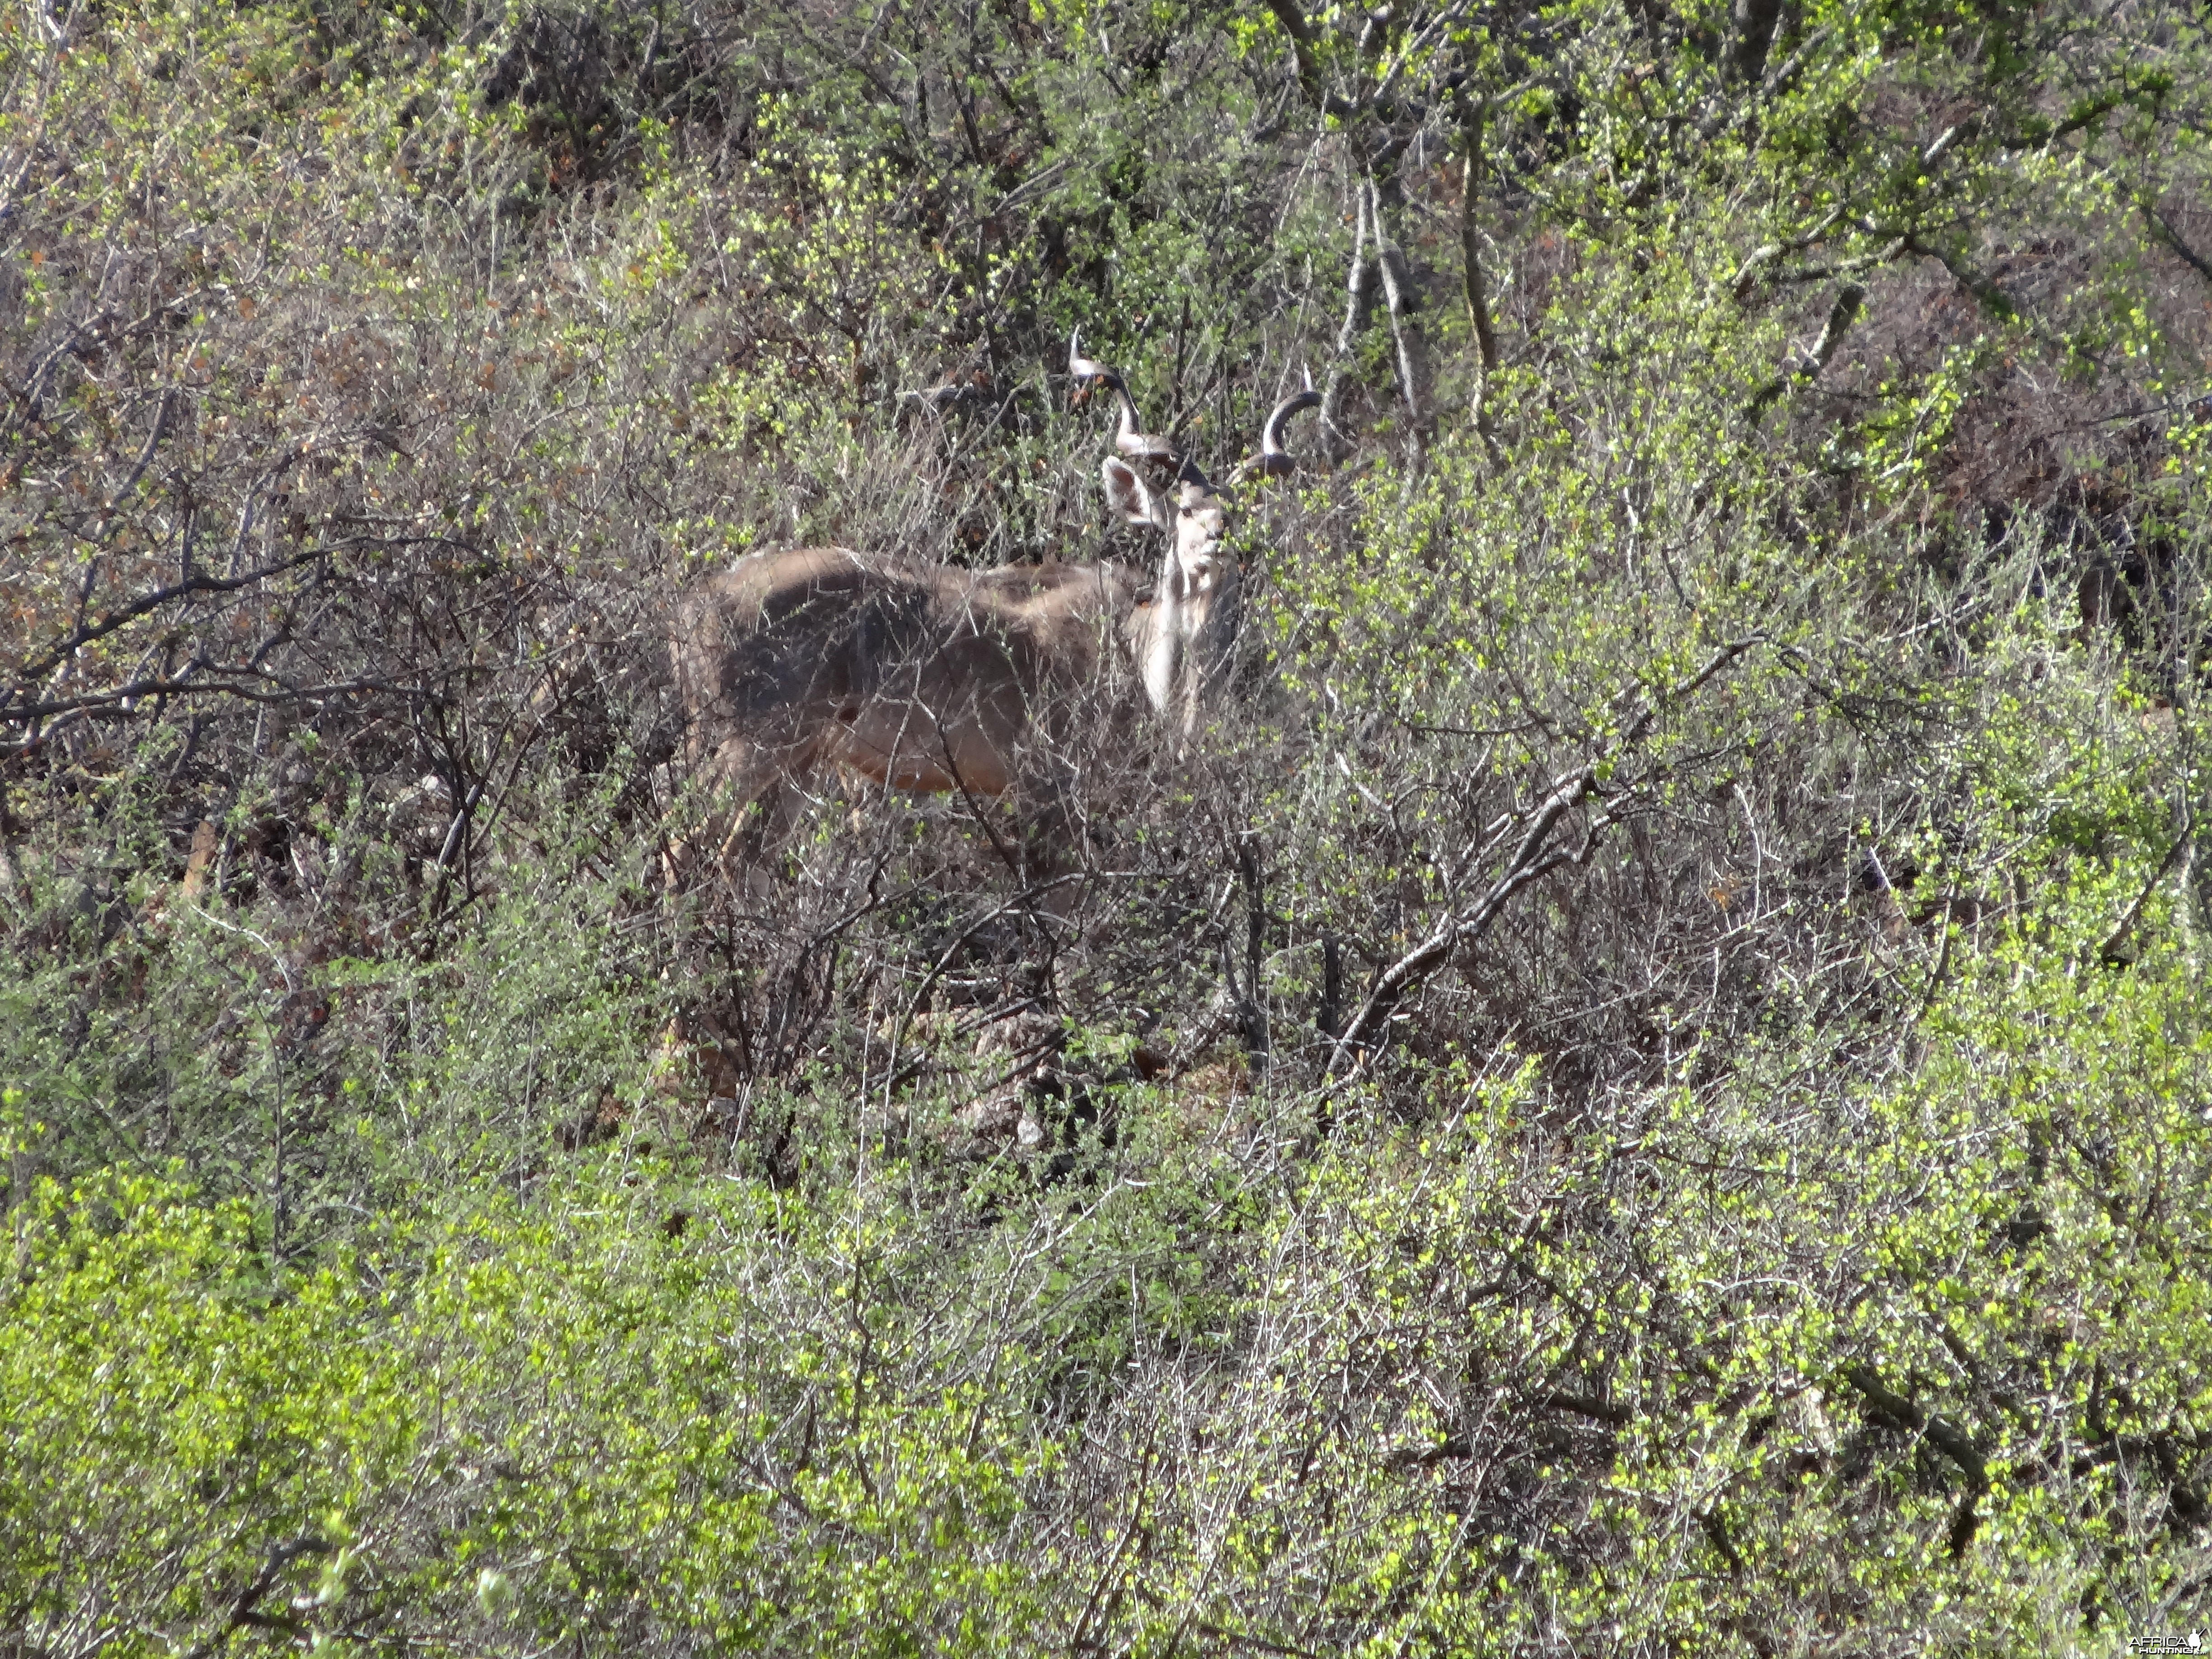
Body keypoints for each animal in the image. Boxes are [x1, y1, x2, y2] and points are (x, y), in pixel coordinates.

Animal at [668, 345, 1309, 876]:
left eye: (1235, 512)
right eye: (1183, 512)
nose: (1221, 538)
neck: (1141, 659)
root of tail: (696, 607)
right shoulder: (1049, 796)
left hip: (798, 763)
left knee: (740, 862)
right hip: (746, 747)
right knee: (685, 848)